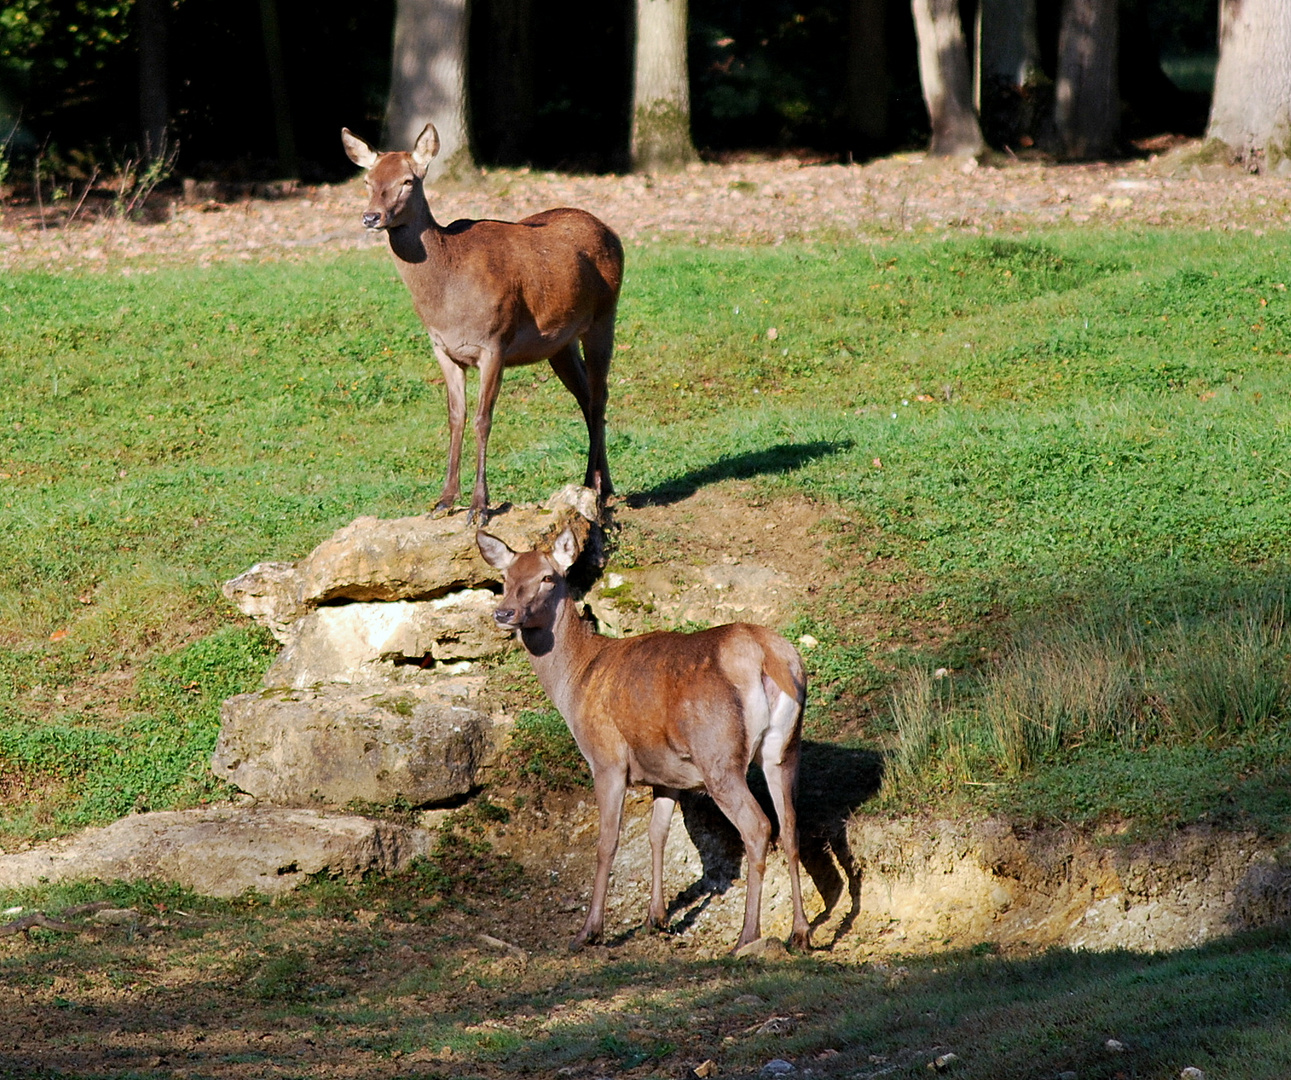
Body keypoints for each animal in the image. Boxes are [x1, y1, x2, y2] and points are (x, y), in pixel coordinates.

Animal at [343, 124, 624, 523]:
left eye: (408, 181)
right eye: (368, 180)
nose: (371, 217)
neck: (447, 299)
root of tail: (612, 232)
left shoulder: (494, 344)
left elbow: (482, 419)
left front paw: (479, 507)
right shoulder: (442, 348)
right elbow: (455, 417)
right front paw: (444, 500)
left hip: (604, 315)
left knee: (600, 395)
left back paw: (595, 487)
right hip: (559, 343)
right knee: (586, 396)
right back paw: (601, 484)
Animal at [480, 526, 810, 949]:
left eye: (548, 577)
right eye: (504, 578)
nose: (504, 613)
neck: (577, 681)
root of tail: (767, 655)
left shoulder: (606, 759)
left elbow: (607, 843)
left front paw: (589, 931)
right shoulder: (666, 774)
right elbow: (658, 834)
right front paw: (657, 918)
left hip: (719, 754)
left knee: (757, 827)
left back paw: (747, 935)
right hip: (785, 748)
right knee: (790, 827)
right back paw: (800, 932)